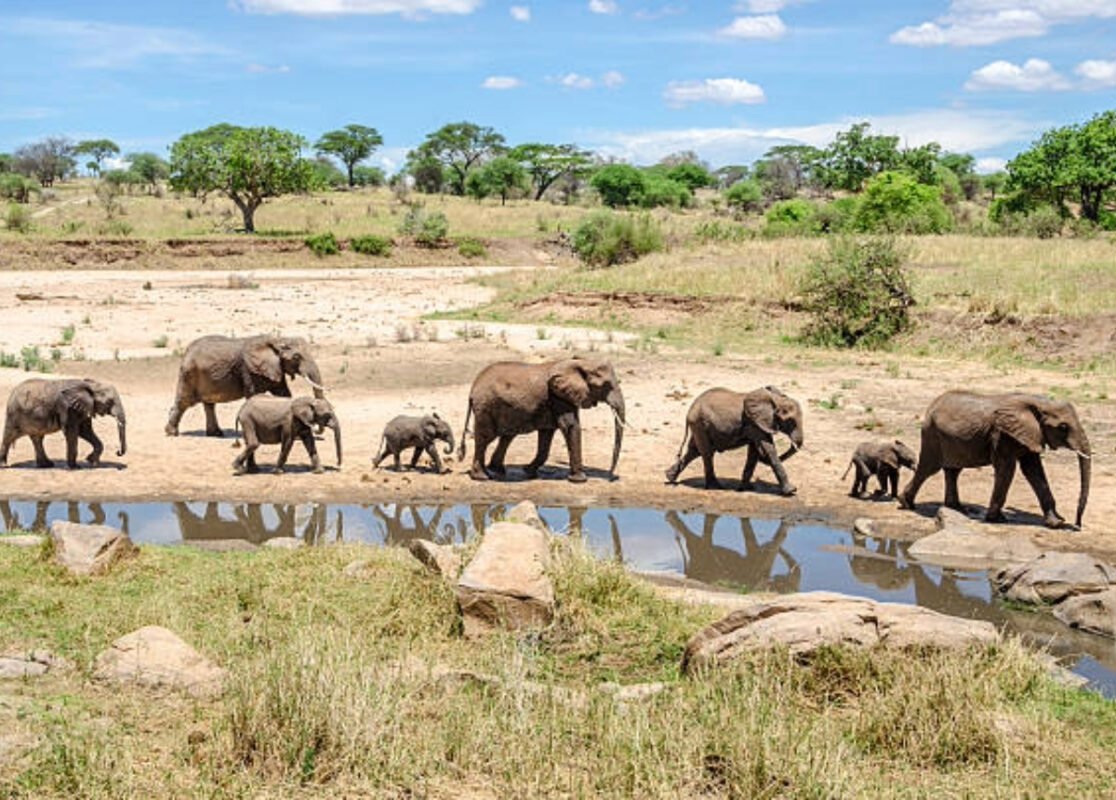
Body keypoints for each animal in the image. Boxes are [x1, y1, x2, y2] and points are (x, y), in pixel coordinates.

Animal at [165, 334, 325, 439]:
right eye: (296, 357)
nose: (317, 430)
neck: (277, 340)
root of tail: (186, 351)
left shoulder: (275, 368)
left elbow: (283, 394)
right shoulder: (249, 370)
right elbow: (254, 395)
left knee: (209, 405)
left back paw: (216, 434)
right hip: (189, 374)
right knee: (184, 402)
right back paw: (171, 433)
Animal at [455, 359, 629, 484]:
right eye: (606, 386)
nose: (610, 476)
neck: (581, 362)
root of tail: (472, 388)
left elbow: (547, 433)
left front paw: (528, 471)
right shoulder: (558, 397)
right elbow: (571, 426)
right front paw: (579, 480)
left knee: (507, 436)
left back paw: (496, 470)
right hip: (485, 407)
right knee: (484, 438)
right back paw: (481, 477)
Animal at [660, 386, 803, 493]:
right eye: (791, 422)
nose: (794, 443)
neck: (777, 400)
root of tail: (690, 409)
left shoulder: (757, 423)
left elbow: (754, 452)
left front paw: (746, 488)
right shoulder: (755, 422)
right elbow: (768, 449)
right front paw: (791, 491)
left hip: (699, 425)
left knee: (694, 451)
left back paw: (669, 477)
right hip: (699, 423)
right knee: (706, 453)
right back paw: (715, 487)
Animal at [897, 390, 1089, 526]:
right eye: (1063, 427)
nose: (1077, 524)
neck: (1038, 402)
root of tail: (931, 405)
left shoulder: (1029, 435)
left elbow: (1034, 471)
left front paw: (1056, 523)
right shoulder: (1003, 435)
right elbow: (1007, 469)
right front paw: (997, 519)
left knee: (953, 470)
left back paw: (957, 508)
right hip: (932, 434)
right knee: (929, 468)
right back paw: (907, 504)